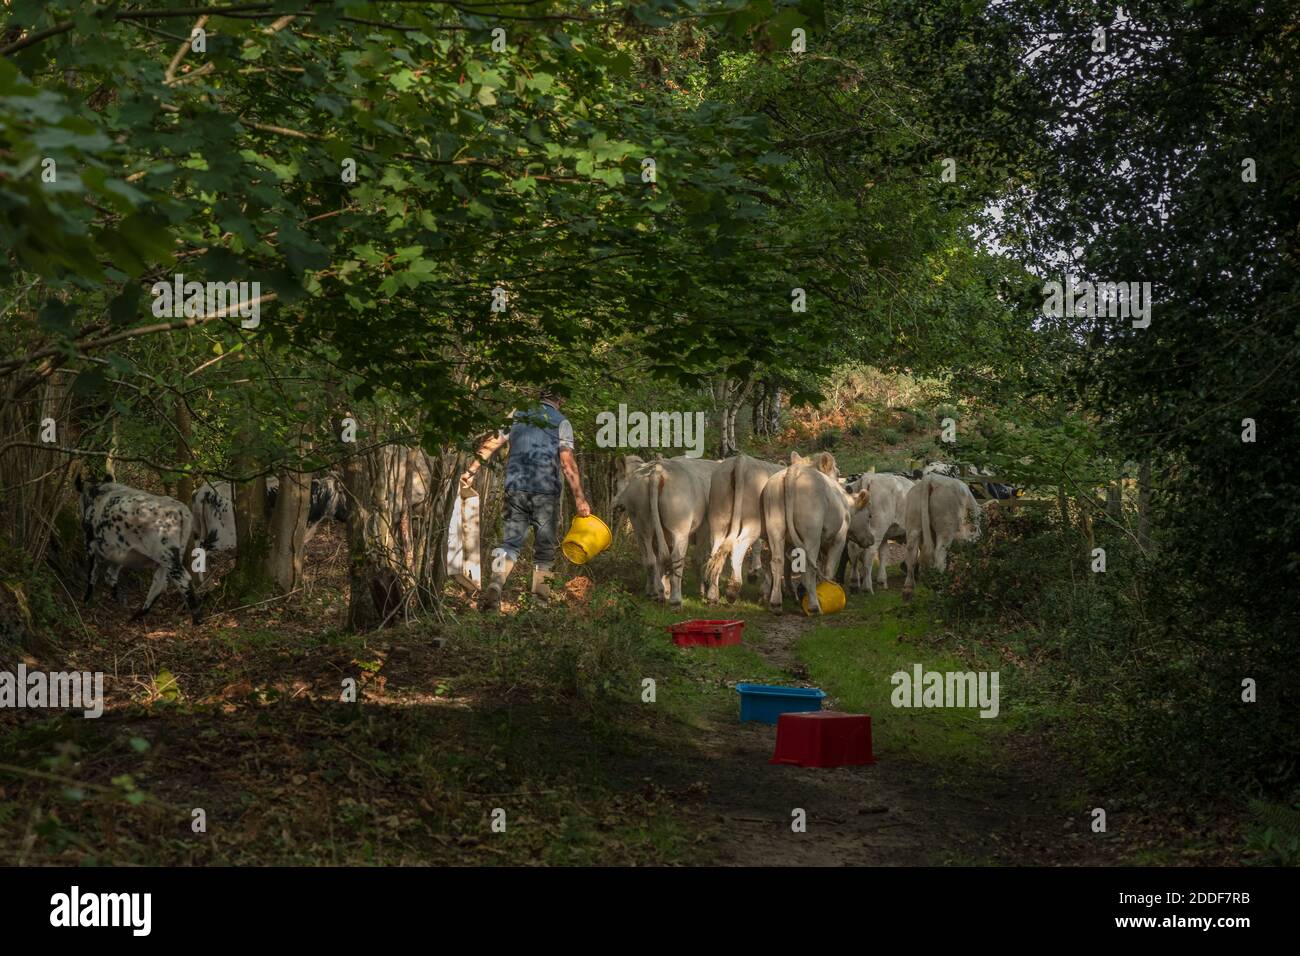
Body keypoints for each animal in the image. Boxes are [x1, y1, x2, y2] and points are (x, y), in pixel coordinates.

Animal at [76, 476, 201, 624]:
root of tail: (180, 508)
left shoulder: (90, 543)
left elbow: (92, 573)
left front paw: (86, 599)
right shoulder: (120, 552)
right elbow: (111, 574)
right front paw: (116, 597)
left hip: (167, 555)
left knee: (182, 580)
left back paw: (197, 618)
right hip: (171, 556)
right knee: (160, 583)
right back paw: (137, 615)